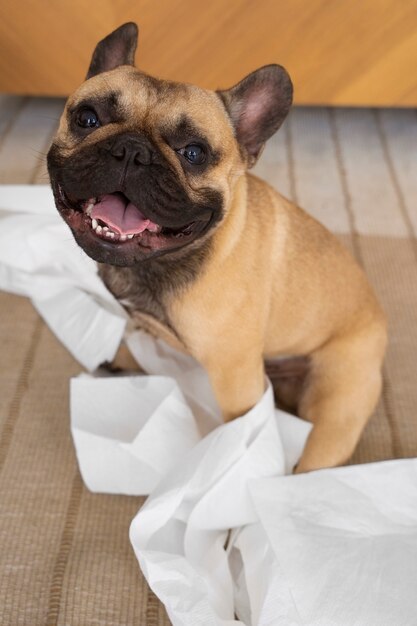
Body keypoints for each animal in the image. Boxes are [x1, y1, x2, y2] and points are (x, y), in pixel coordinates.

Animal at [47, 22, 386, 470]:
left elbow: (237, 421)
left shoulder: (235, 376)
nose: (131, 150)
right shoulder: (140, 320)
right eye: (87, 118)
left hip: (333, 409)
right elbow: (134, 341)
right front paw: (122, 364)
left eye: (194, 153)